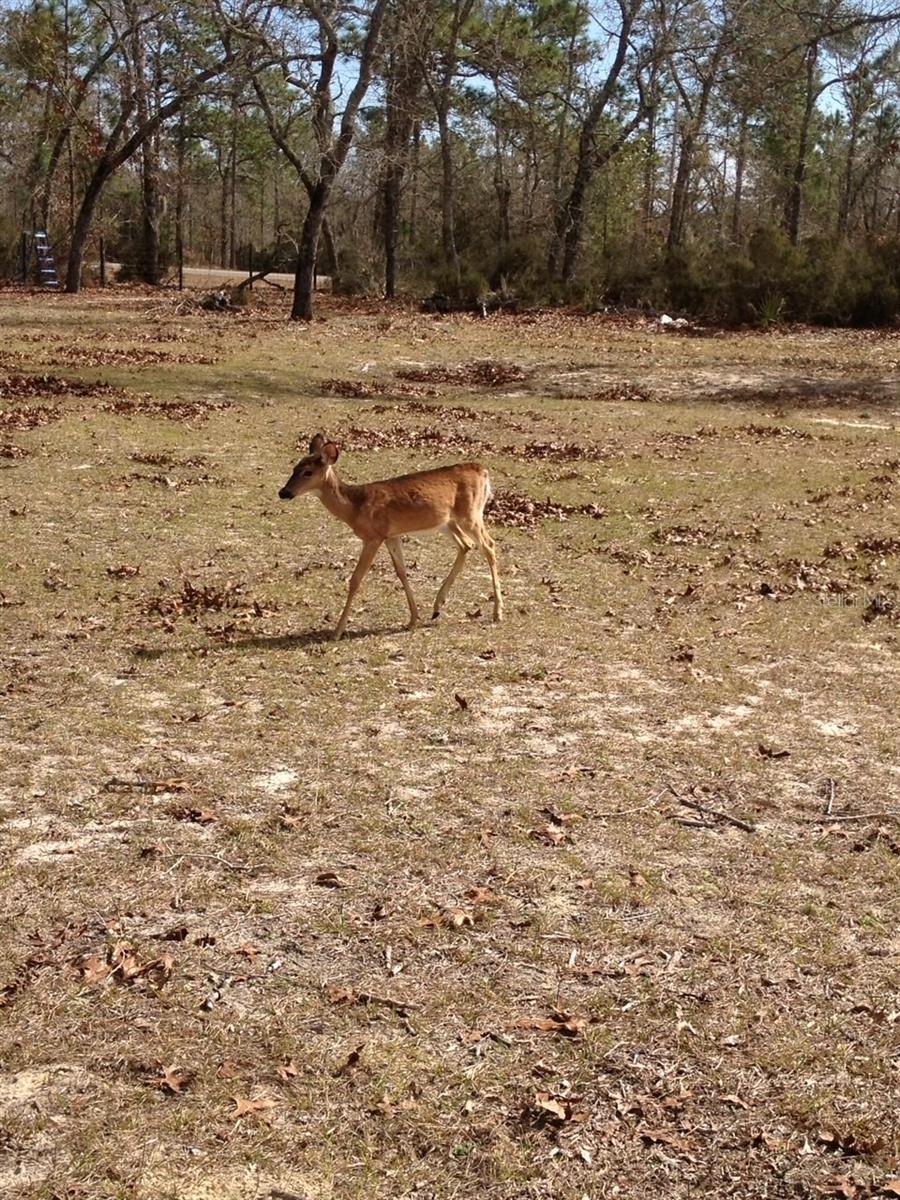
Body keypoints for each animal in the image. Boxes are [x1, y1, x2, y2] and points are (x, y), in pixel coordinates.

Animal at [278, 429, 504, 638]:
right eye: (294, 468)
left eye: (307, 472)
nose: (283, 492)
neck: (355, 507)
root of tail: (483, 471)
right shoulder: (391, 535)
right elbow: (401, 572)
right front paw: (413, 619)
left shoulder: (373, 536)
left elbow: (356, 579)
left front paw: (337, 631)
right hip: (447, 522)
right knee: (466, 545)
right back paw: (437, 607)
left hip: (471, 514)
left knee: (488, 545)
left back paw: (497, 612)